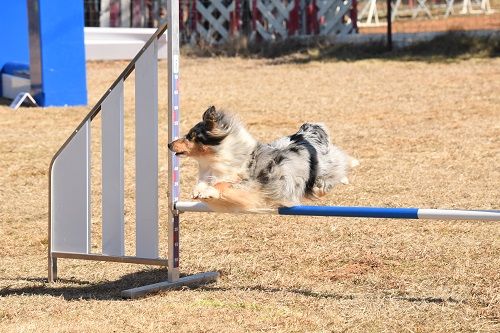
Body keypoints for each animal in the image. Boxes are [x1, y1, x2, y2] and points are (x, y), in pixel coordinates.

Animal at [169, 105, 360, 211]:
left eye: (190, 136)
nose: (169, 144)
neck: (214, 159)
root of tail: (304, 134)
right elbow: (203, 185)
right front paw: (199, 190)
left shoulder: (251, 182)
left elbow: (223, 184)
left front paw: (209, 191)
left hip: (323, 167)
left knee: (336, 167)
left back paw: (346, 173)